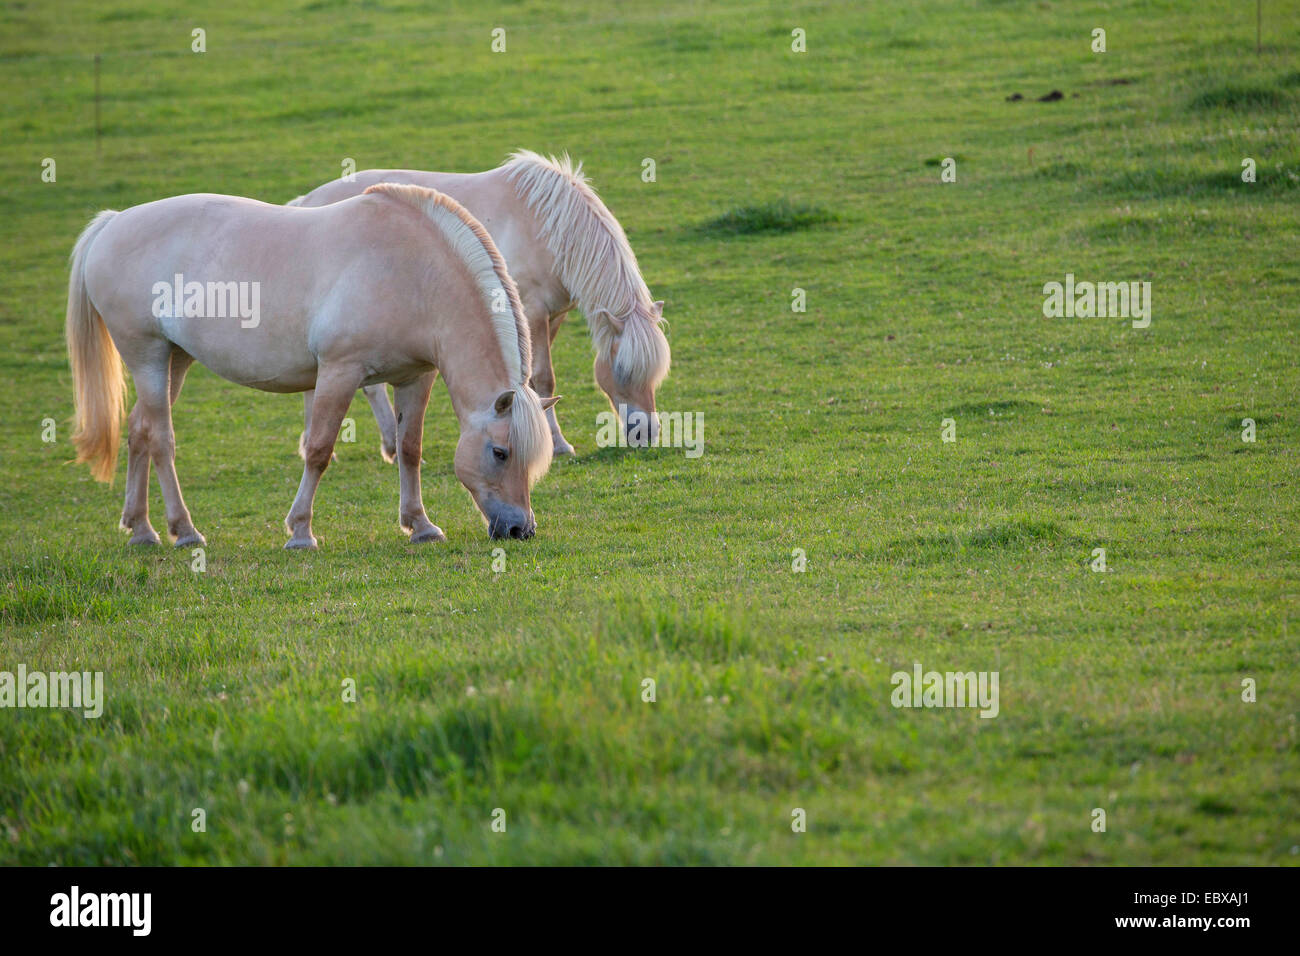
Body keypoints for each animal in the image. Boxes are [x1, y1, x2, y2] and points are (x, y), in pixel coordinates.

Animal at [65, 184, 556, 548]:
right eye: (500, 452)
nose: (520, 529)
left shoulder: (414, 378)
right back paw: (184, 531)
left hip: (175, 359)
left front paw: (420, 525)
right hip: (147, 356)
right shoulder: (339, 372)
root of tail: (113, 223)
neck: (413, 273)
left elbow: (409, 450)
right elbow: (318, 449)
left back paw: (141, 529)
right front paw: (300, 531)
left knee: (139, 431)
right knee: (161, 440)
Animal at [287, 149, 670, 460]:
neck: (545, 225)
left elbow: (532, 381)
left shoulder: (552, 317)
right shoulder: (533, 312)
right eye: (621, 371)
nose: (647, 434)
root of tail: (305, 202)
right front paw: (559, 444)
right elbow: (543, 379)